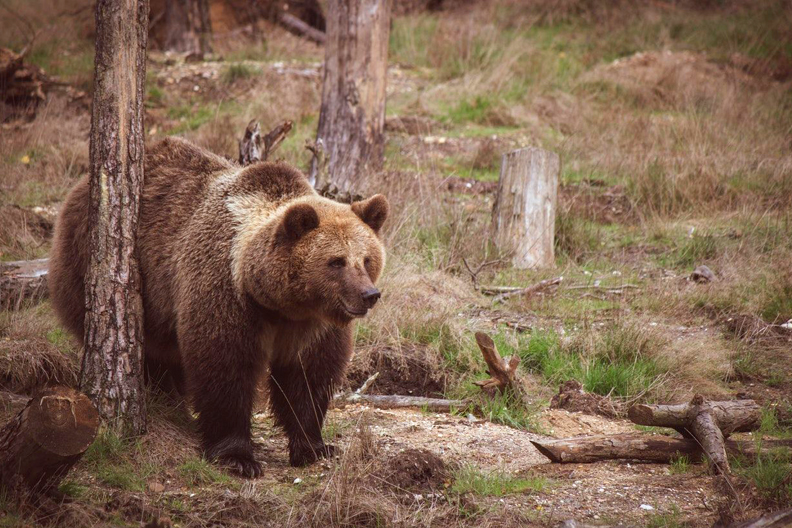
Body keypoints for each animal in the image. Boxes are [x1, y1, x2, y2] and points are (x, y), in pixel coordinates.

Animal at [48, 136, 388, 474]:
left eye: (366, 259)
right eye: (336, 261)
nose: (369, 294)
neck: (277, 303)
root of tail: (79, 188)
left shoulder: (312, 325)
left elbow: (308, 376)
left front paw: (315, 446)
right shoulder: (225, 293)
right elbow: (224, 367)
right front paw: (237, 456)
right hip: (97, 267)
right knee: (152, 352)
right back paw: (165, 398)